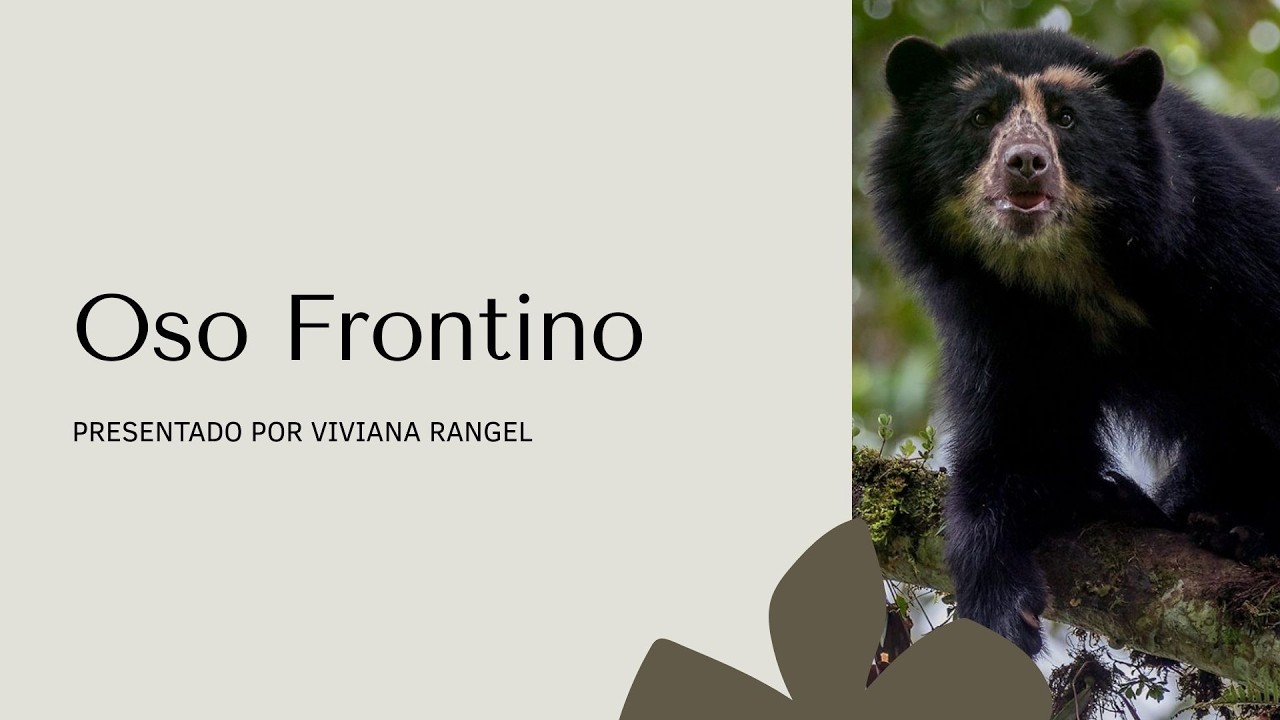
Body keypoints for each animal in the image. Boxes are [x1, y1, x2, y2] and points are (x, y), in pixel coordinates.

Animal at [867, 28, 1280, 656]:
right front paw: (1003, 609)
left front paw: (1250, 524)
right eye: (981, 116)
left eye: (1066, 118)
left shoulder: (1229, 233)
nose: (1026, 164)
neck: (1072, 268)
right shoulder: (1001, 322)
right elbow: (1015, 444)